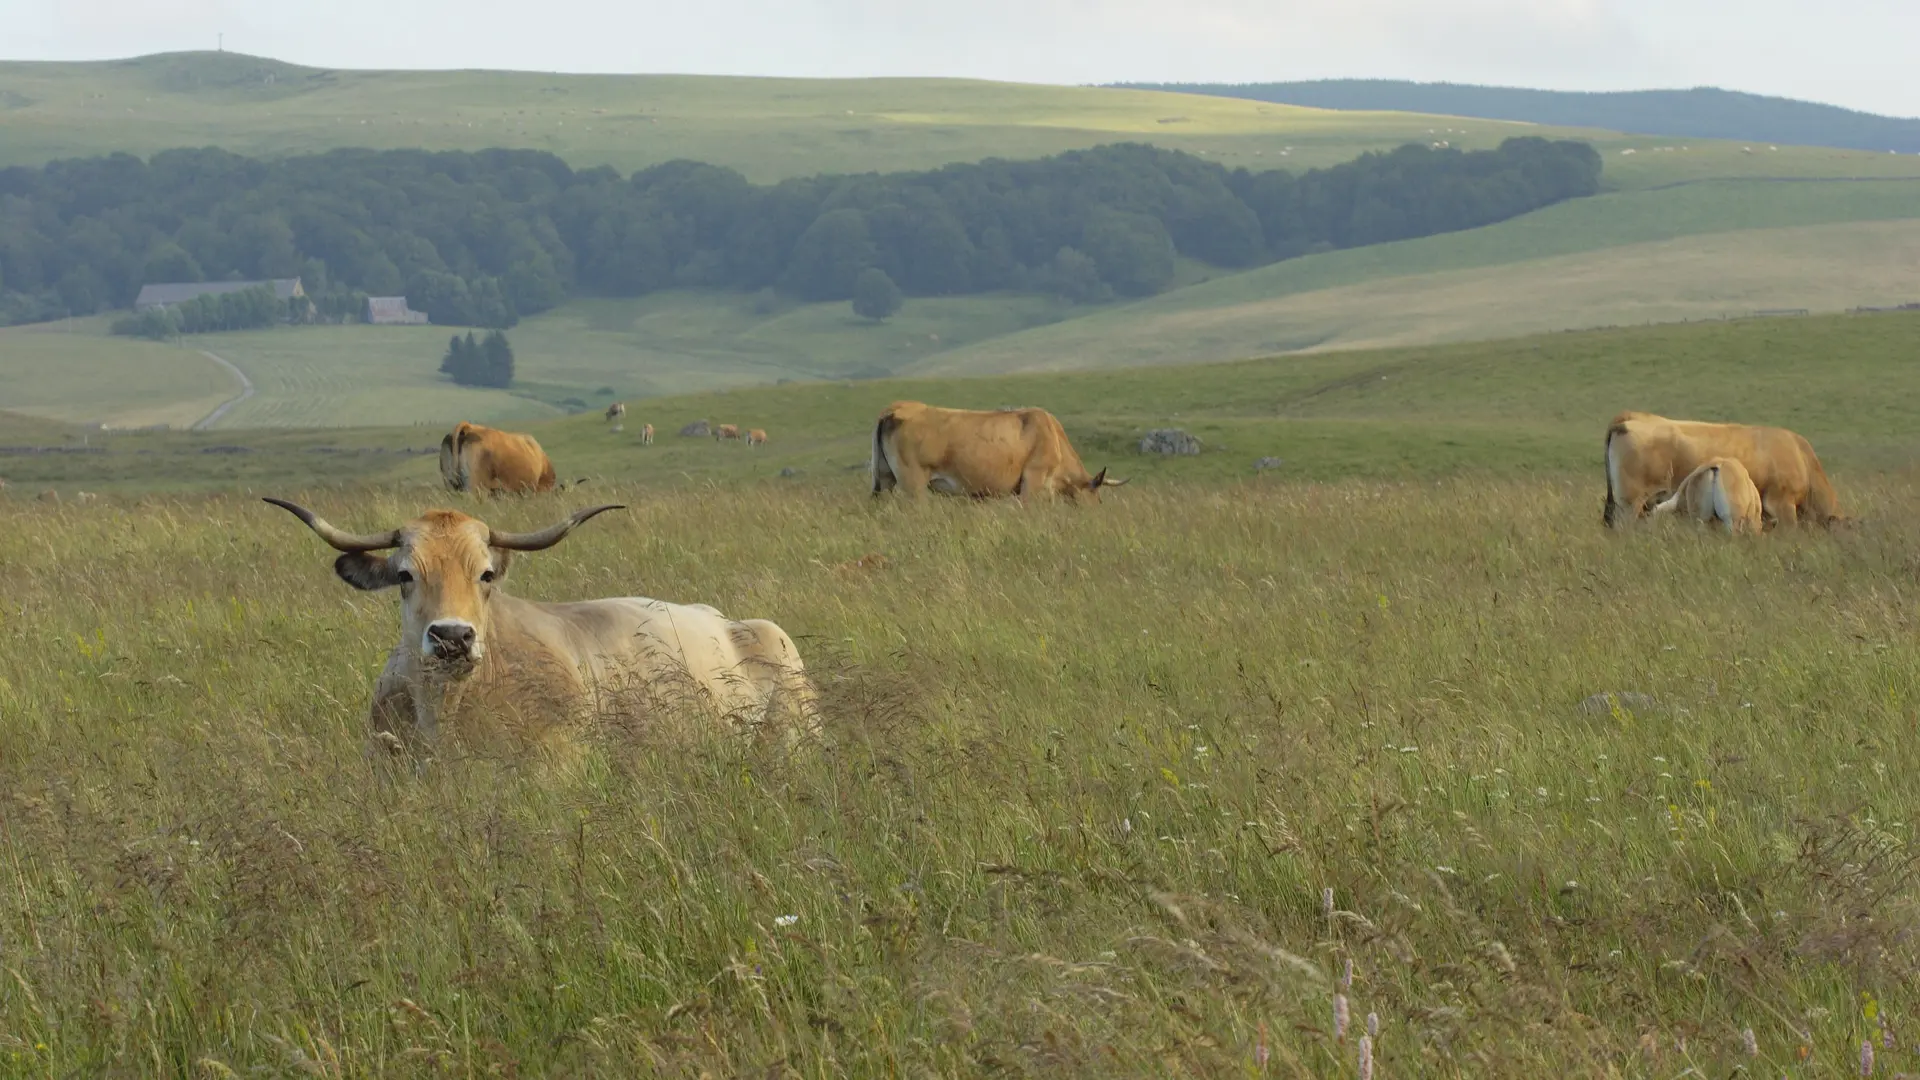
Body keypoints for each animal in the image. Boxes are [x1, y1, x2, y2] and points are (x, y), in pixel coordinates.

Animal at [870, 401, 1126, 503]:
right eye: (1097, 495)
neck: (1053, 435)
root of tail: (895, 409)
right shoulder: (1032, 483)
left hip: (885, 479)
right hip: (914, 485)